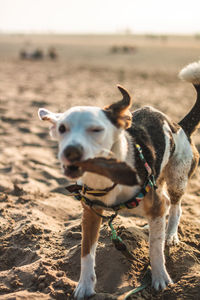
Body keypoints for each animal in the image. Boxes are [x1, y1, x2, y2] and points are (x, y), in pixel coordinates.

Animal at [38, 61, 200, 300]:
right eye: (62, 129)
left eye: (96, 129)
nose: (70, 152)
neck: (107, 178)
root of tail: (180, 126)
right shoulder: (90, 212)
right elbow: (86, 253)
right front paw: (84, 286)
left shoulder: (155, 203)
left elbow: (155, 249)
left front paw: (160, 278)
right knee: (165, 209)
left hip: (176, 179)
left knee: (175, 208)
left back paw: (170, 236)